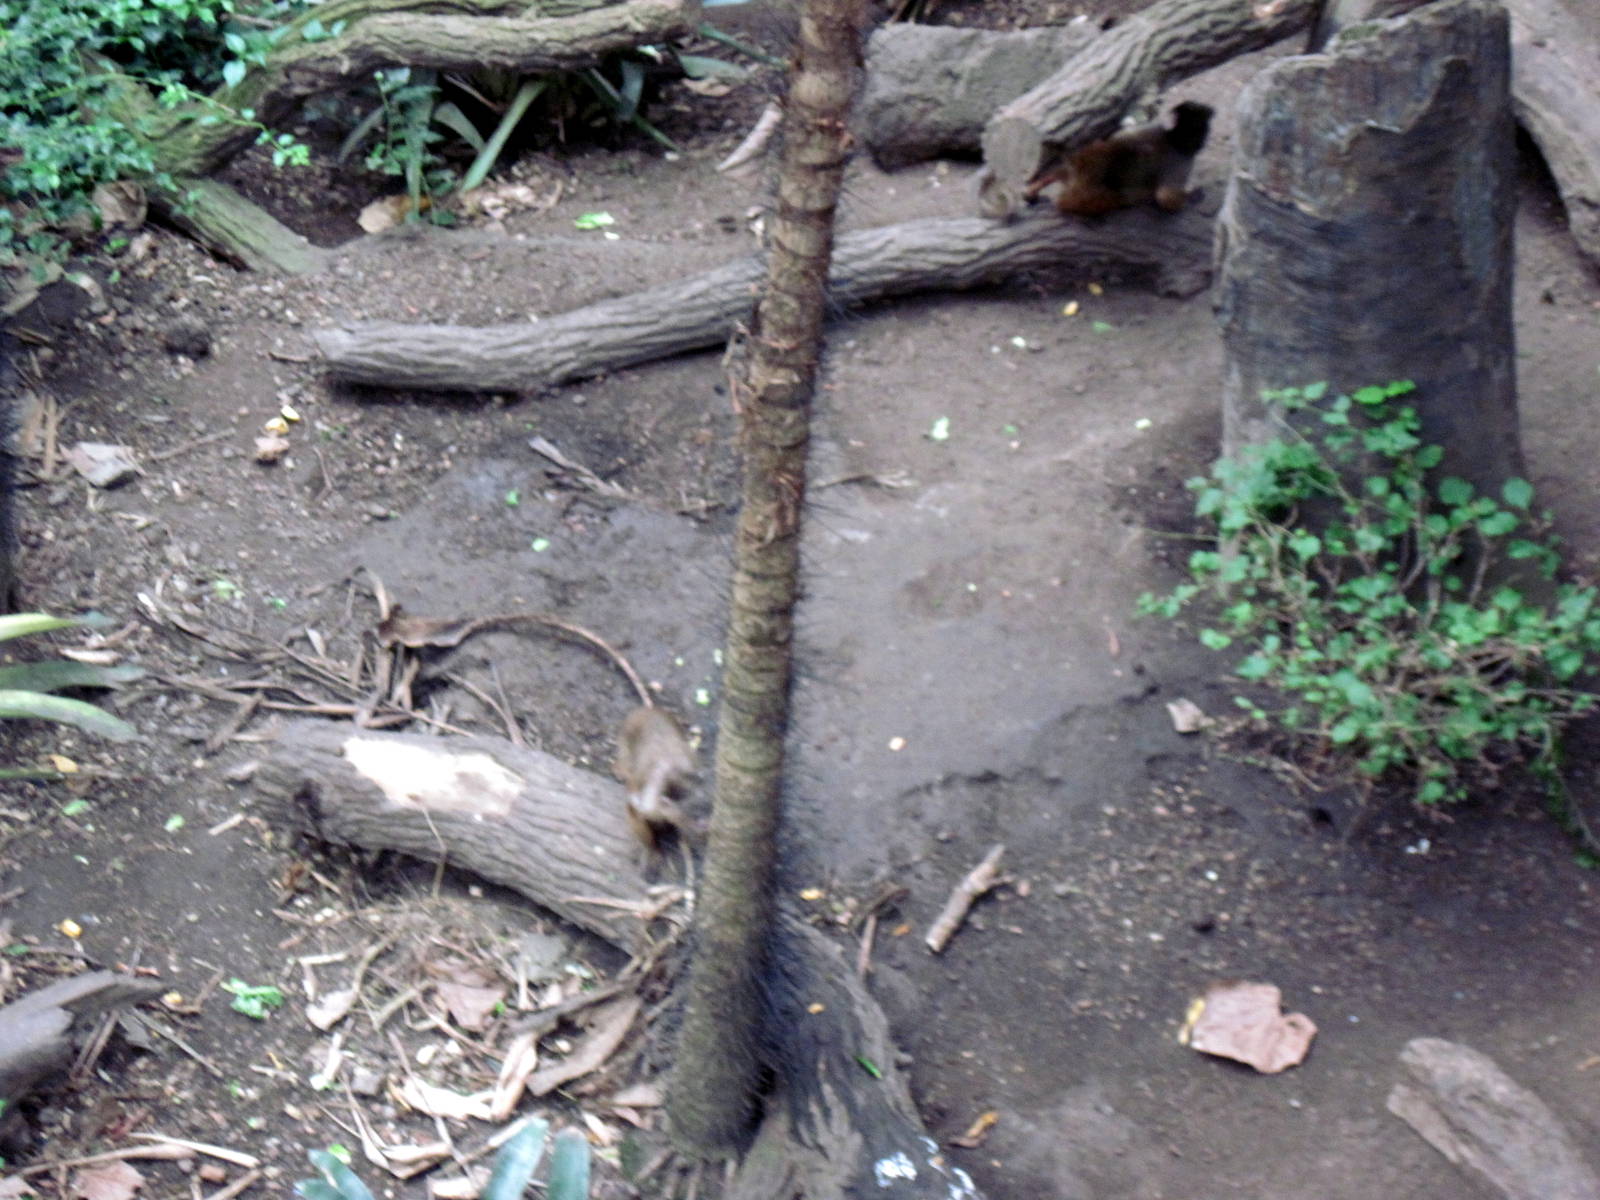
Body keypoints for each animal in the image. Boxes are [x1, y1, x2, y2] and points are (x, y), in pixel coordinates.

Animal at [1023, 100, 1214, 217]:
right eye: (1201, 132)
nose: (1201, 143)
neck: (1172, 138)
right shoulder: (1181, 159)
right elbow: (1167, 198)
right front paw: (1190, 197)